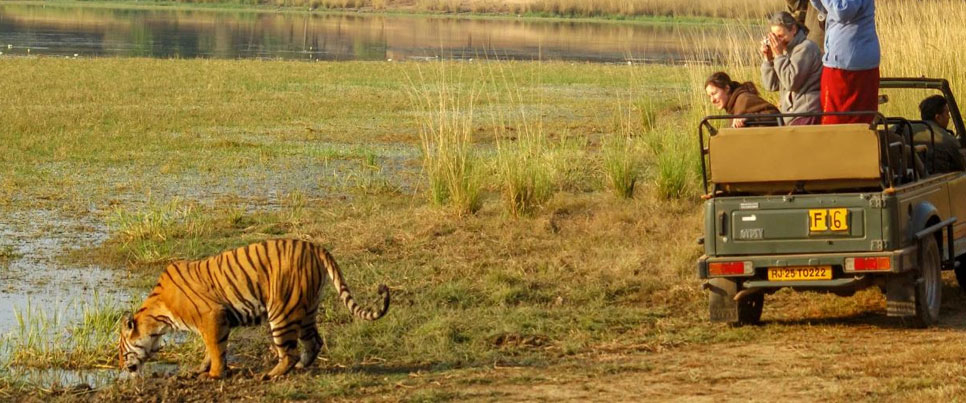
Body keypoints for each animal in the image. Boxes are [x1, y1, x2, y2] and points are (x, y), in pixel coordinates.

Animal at [118, 239, 390, 379]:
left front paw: (214, 375)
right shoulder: (214, 322)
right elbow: (211, 349)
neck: (157, 317)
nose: (121, 366)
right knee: (313, 342)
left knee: (289, 352)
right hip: (307, 309)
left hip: (282, 312)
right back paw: (300, 367)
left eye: (121, 349)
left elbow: (216, 349)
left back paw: (270, 374)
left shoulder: (212, 316)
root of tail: (315, 246)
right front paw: (202, 369)